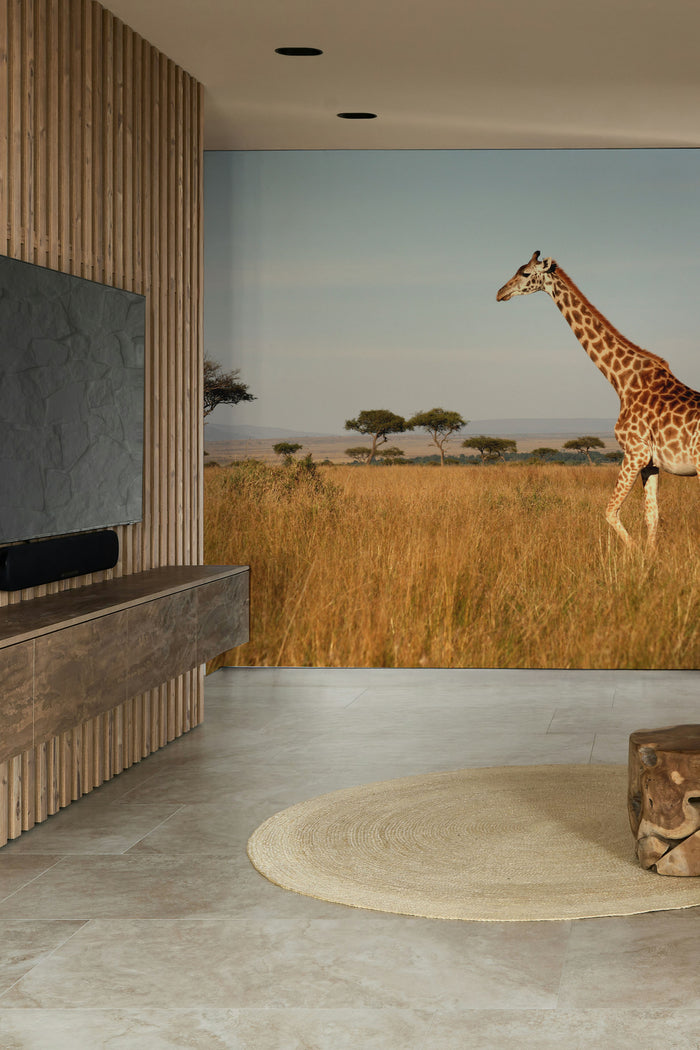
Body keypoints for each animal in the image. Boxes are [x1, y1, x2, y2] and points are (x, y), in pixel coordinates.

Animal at [496, 251, 700, 546]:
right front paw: (649, 555)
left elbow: (610, 511)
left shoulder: (635, 453)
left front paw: (634, 552)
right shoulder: (650, 462)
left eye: (525, 273)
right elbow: (652, 516)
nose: (500, 292)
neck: (622, 380)